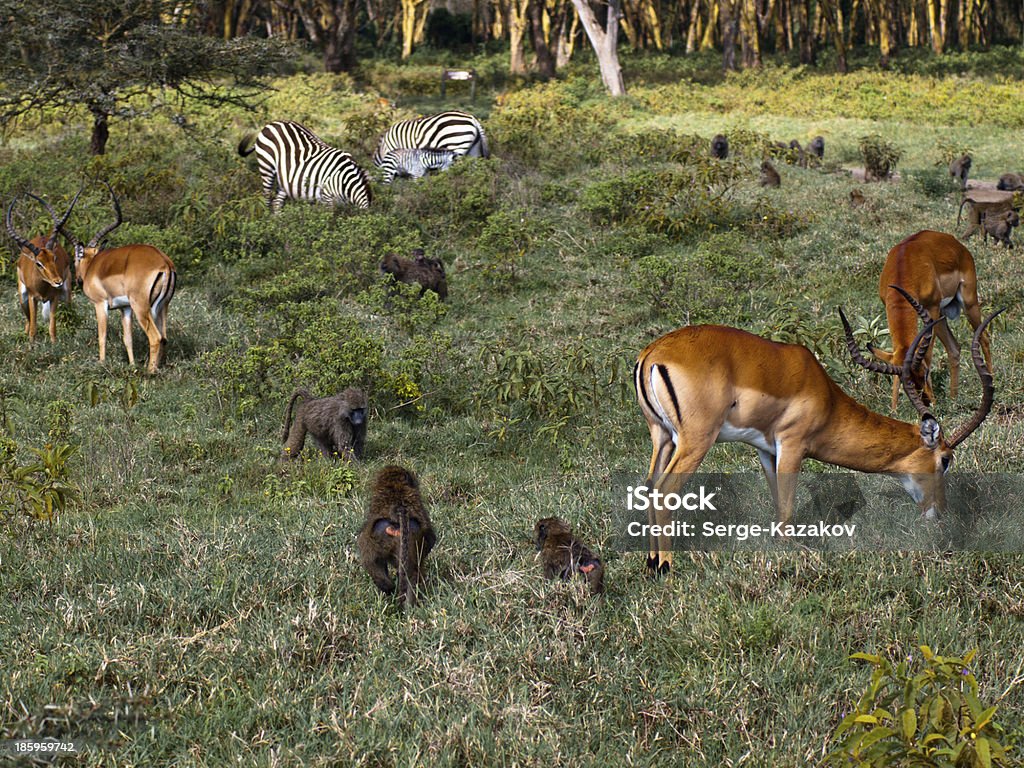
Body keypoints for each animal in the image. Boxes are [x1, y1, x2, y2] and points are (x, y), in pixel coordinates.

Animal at [236, 119, 372, 214]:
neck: (345, 180)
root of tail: (270, 124)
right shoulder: (327, 196)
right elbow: (330, 220)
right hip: (266, 167)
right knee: (268, 198)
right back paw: (268, 224)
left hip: (284, 179)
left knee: (277, 203)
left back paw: (279, 226)